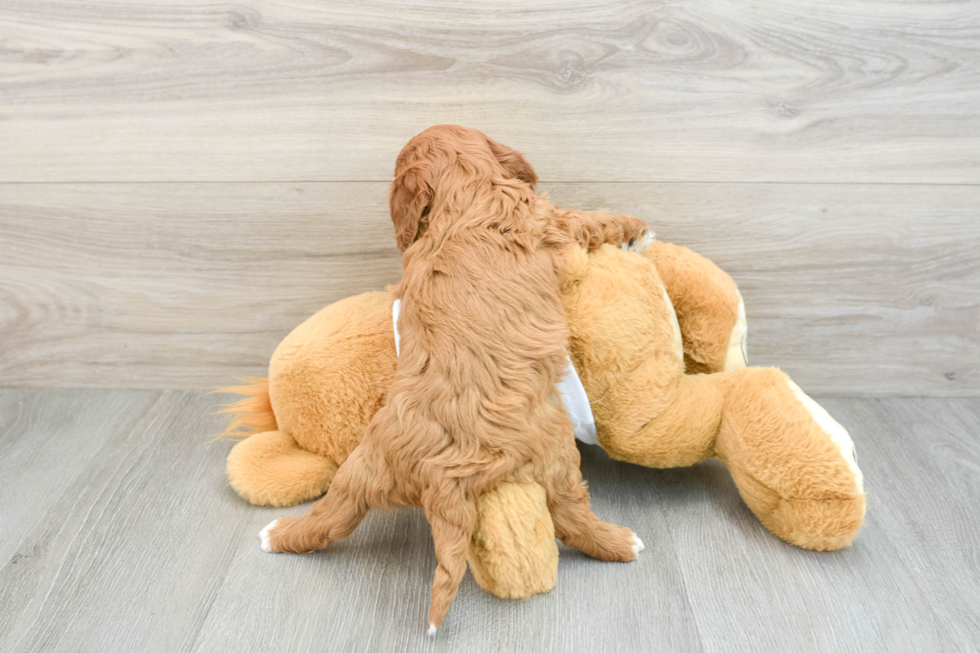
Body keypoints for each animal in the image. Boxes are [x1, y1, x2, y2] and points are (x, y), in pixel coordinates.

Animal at [264, 123, 656, 632]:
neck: (464, 190)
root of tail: (441, 475)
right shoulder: (551, 223)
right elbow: (590, 219)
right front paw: (637, 230)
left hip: (362, 467)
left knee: (332, 517)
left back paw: (278, 533)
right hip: (556, 454)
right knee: (571, 516)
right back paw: (620, 543)